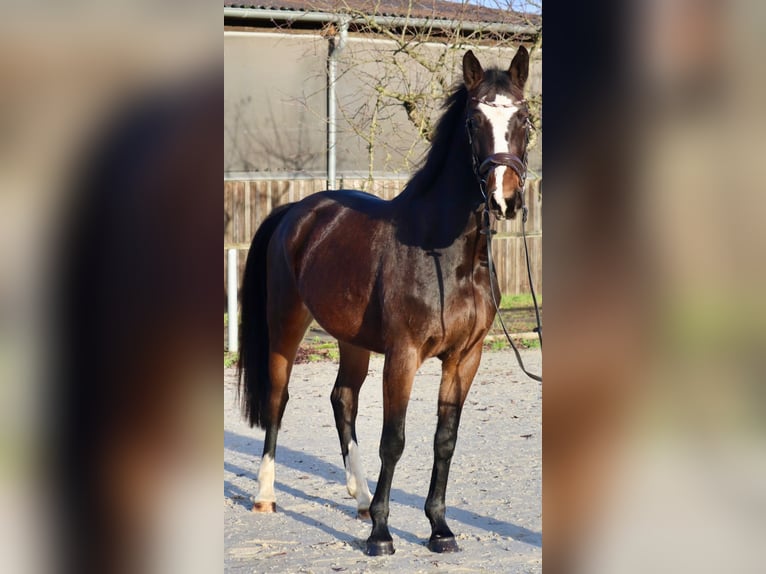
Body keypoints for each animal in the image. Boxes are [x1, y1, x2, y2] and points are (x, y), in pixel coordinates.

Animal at [238, 47, 531, 556]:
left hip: (352, 340)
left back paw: (358, 497)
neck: (446, 253)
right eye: (474, 120)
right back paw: (265, 495)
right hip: (286, 326)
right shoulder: (403, 355)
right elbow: (393, 439)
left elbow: (445, 439)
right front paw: (380, 534)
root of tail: (296, 211)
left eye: (525, 118)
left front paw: (439, 529)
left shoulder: (465, 358)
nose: (505, 199)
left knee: (342, 399)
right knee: (278, 399)